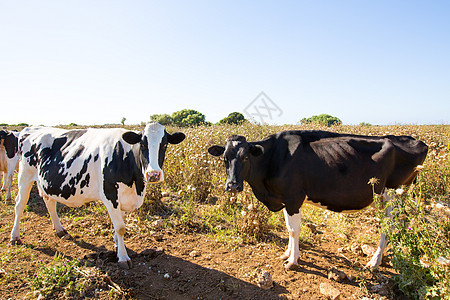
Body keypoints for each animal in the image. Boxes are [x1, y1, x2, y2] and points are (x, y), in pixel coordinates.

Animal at [11, 123, 185, 268]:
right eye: (142, 144)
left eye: (164, 144)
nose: (153, 174)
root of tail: (30, 128)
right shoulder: (110, 194)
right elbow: (121, 227)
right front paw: (123, 257)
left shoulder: (123, 198)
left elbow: (119, 225)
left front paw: (117, 245)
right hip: (25, 175)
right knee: (20, 204)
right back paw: (15, 236)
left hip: (46, 182)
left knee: (49, 202)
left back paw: (60, 230)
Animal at [209, 131, 428, 270]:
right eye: (225, 159)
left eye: (245, 157)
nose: (232, 186)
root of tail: (415, 141)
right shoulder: (285, 199)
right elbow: (288, 227)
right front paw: (287, 253)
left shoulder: (293, 198)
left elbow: (294, 230)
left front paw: (293, 261)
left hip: (392, 194)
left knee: (388, 226)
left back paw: (374, 262)